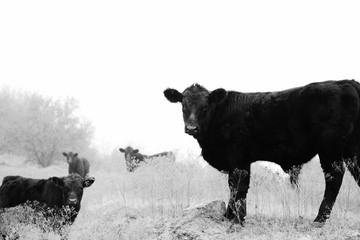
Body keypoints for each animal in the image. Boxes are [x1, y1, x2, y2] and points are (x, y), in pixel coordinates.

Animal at [165, 80, 360, 225]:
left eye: (205, 106)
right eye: (183, 105)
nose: (192, 128)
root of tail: (344, 82)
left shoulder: (239, 158)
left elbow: (239, 187)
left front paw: (237, 220)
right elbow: (232, 187)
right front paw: (228, 216)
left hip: (330, 148)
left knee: (334, 177)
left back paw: (319, 219)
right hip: (351, 149)